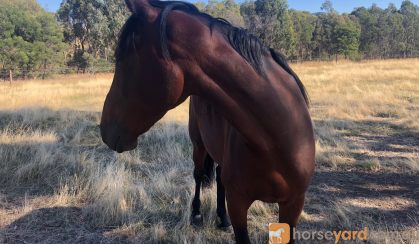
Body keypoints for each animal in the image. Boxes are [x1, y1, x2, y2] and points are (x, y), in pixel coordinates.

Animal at [101, 0, 316, 243]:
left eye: (123, 57)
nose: (104, 129)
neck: (277, 141)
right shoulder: (238, 203)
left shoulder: (293, 205)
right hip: (198, 144)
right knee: (198, 174)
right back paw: (196, 214)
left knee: (219, 177)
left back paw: (222, 218)